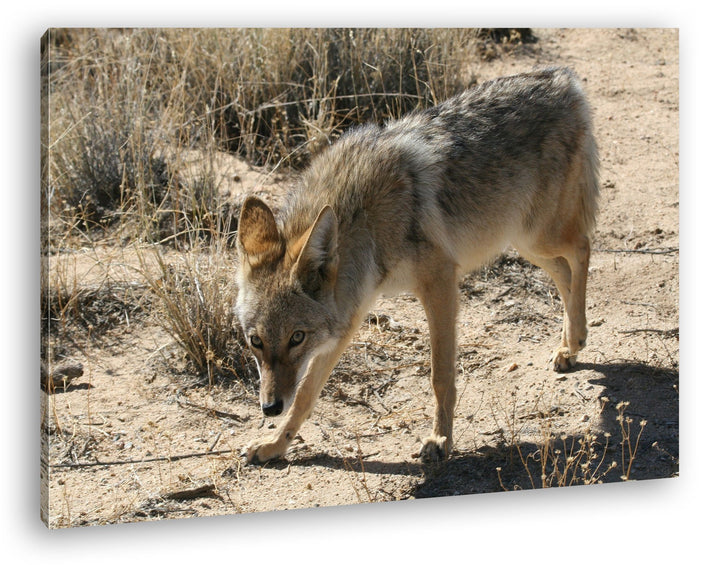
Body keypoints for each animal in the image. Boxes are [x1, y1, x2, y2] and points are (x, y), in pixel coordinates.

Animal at [235, 67, 599, 464]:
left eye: (296, 337)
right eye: (256, 342)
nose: (270, 407)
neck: (365, 218)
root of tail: (564, 79)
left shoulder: (440, 283)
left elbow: (440, 377)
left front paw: (440, 439)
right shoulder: (349, 317)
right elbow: (305, 396)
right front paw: (274, 445)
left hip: (539, 236)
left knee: (582, 249)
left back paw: (577, 337)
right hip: (524, 241)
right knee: (564, 272)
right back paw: (567, 349)